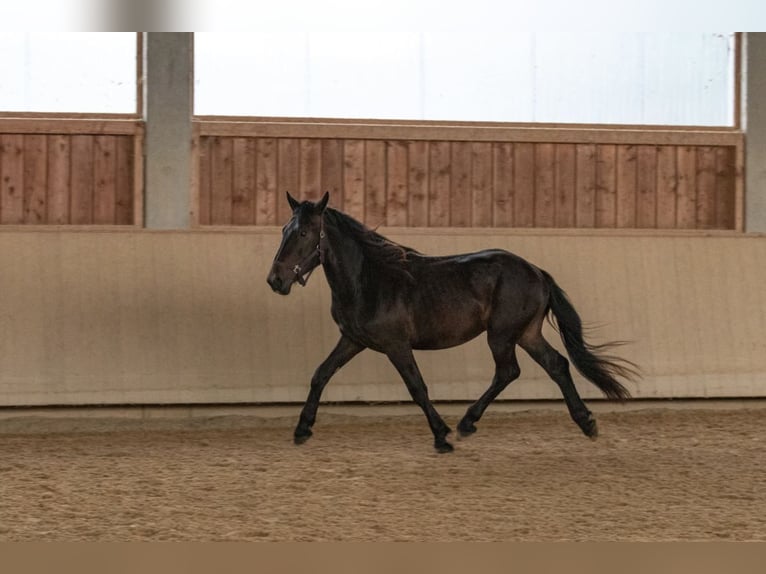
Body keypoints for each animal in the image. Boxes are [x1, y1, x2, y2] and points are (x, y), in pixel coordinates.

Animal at [268, 194, 640, 454]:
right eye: (284, 230)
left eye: (303, 232)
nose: (275, 280)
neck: (369, 280)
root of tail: (536, 271)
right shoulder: (352, 340)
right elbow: (321, 375)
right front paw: (302, 430)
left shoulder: (395, 346)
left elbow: (417, 388)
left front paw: (441, 436)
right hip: (526, 333)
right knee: (557, 365)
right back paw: (586, 423)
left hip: (502, 335)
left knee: (509, 372)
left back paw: (465, 424)